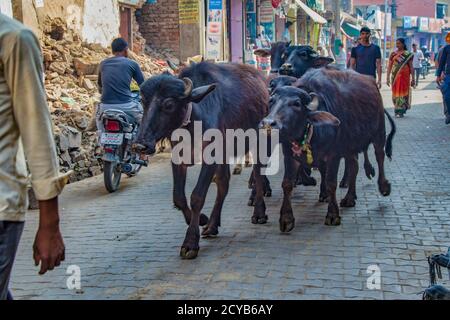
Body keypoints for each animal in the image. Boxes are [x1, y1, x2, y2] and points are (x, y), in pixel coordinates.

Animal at [135, 61, 268, 258]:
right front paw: (202, 220)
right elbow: (178, 197)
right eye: (143, 102)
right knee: (223, 183)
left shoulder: (210, 158)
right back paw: (212, 225)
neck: (193, 123)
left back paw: (259, 212)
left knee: (258, 173)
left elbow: (197, 196)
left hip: (257, 140)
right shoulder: (179, 159)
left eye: (169, 104)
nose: (140, 145)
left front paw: (190, 242)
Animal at [260, 67, 394, 231]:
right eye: (271, 101)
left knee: (380, 156)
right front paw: (286, 219)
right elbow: (287, 184)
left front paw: (332, 215)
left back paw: (384, 187)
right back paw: (349, 198)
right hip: (350, 146)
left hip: (379, 133)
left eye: (296, 103)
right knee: (354, 166)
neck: (311, 132)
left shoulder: (333, 155)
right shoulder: (290, 155)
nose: (268, 123)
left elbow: (331, 184)